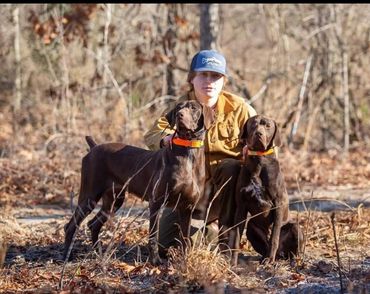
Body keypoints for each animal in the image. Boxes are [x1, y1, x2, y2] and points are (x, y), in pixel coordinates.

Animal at [64, 100, 207, 264]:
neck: (188, 152)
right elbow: (153, 236)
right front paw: (155, 261)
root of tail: (94, 147)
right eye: (178, 107)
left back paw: (98, 253)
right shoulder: (156, 202)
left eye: (193, 108)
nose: (179, 115)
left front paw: (184, 262)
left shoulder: (187, 207)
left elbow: (185, 239)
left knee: (93, 224)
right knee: (71, 226)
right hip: (90, 196)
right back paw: (66, 257)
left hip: (114, 201)